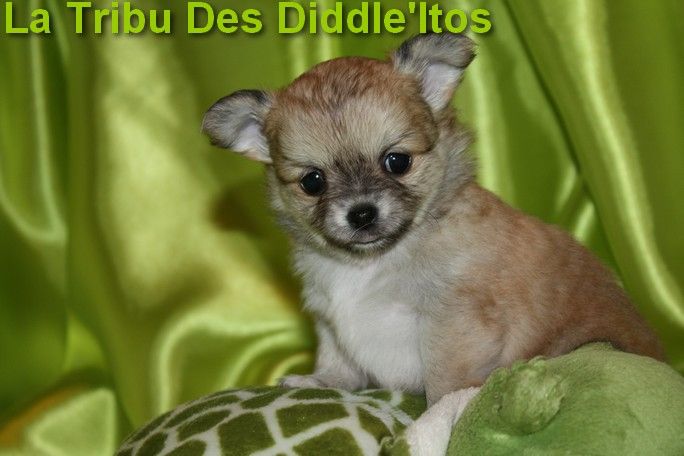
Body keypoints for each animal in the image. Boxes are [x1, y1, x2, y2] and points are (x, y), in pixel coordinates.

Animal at [202, 34, 664, 406]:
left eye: (397, 161)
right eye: (313, 182)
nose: (361, 213)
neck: (373, 264)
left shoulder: (453, 324)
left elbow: (445, 382)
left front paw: (440, 420)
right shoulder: (331, 321)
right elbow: (339, 362)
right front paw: (319, 380)